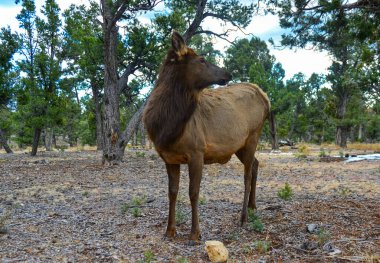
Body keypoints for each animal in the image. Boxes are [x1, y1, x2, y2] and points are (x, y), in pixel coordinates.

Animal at [142, 32, 270, 244]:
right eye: (201, 59)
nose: (228, 73)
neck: (165, 129)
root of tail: (265, 97)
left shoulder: (197, 152)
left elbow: (193, 192)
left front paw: (195, 233)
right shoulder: (169, 158)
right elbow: (172, 192)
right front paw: (170, 230)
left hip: (254, 135)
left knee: (247, 174)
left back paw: (243, 217)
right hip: (240, 145)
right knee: (256, 164)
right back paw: (253, 206)